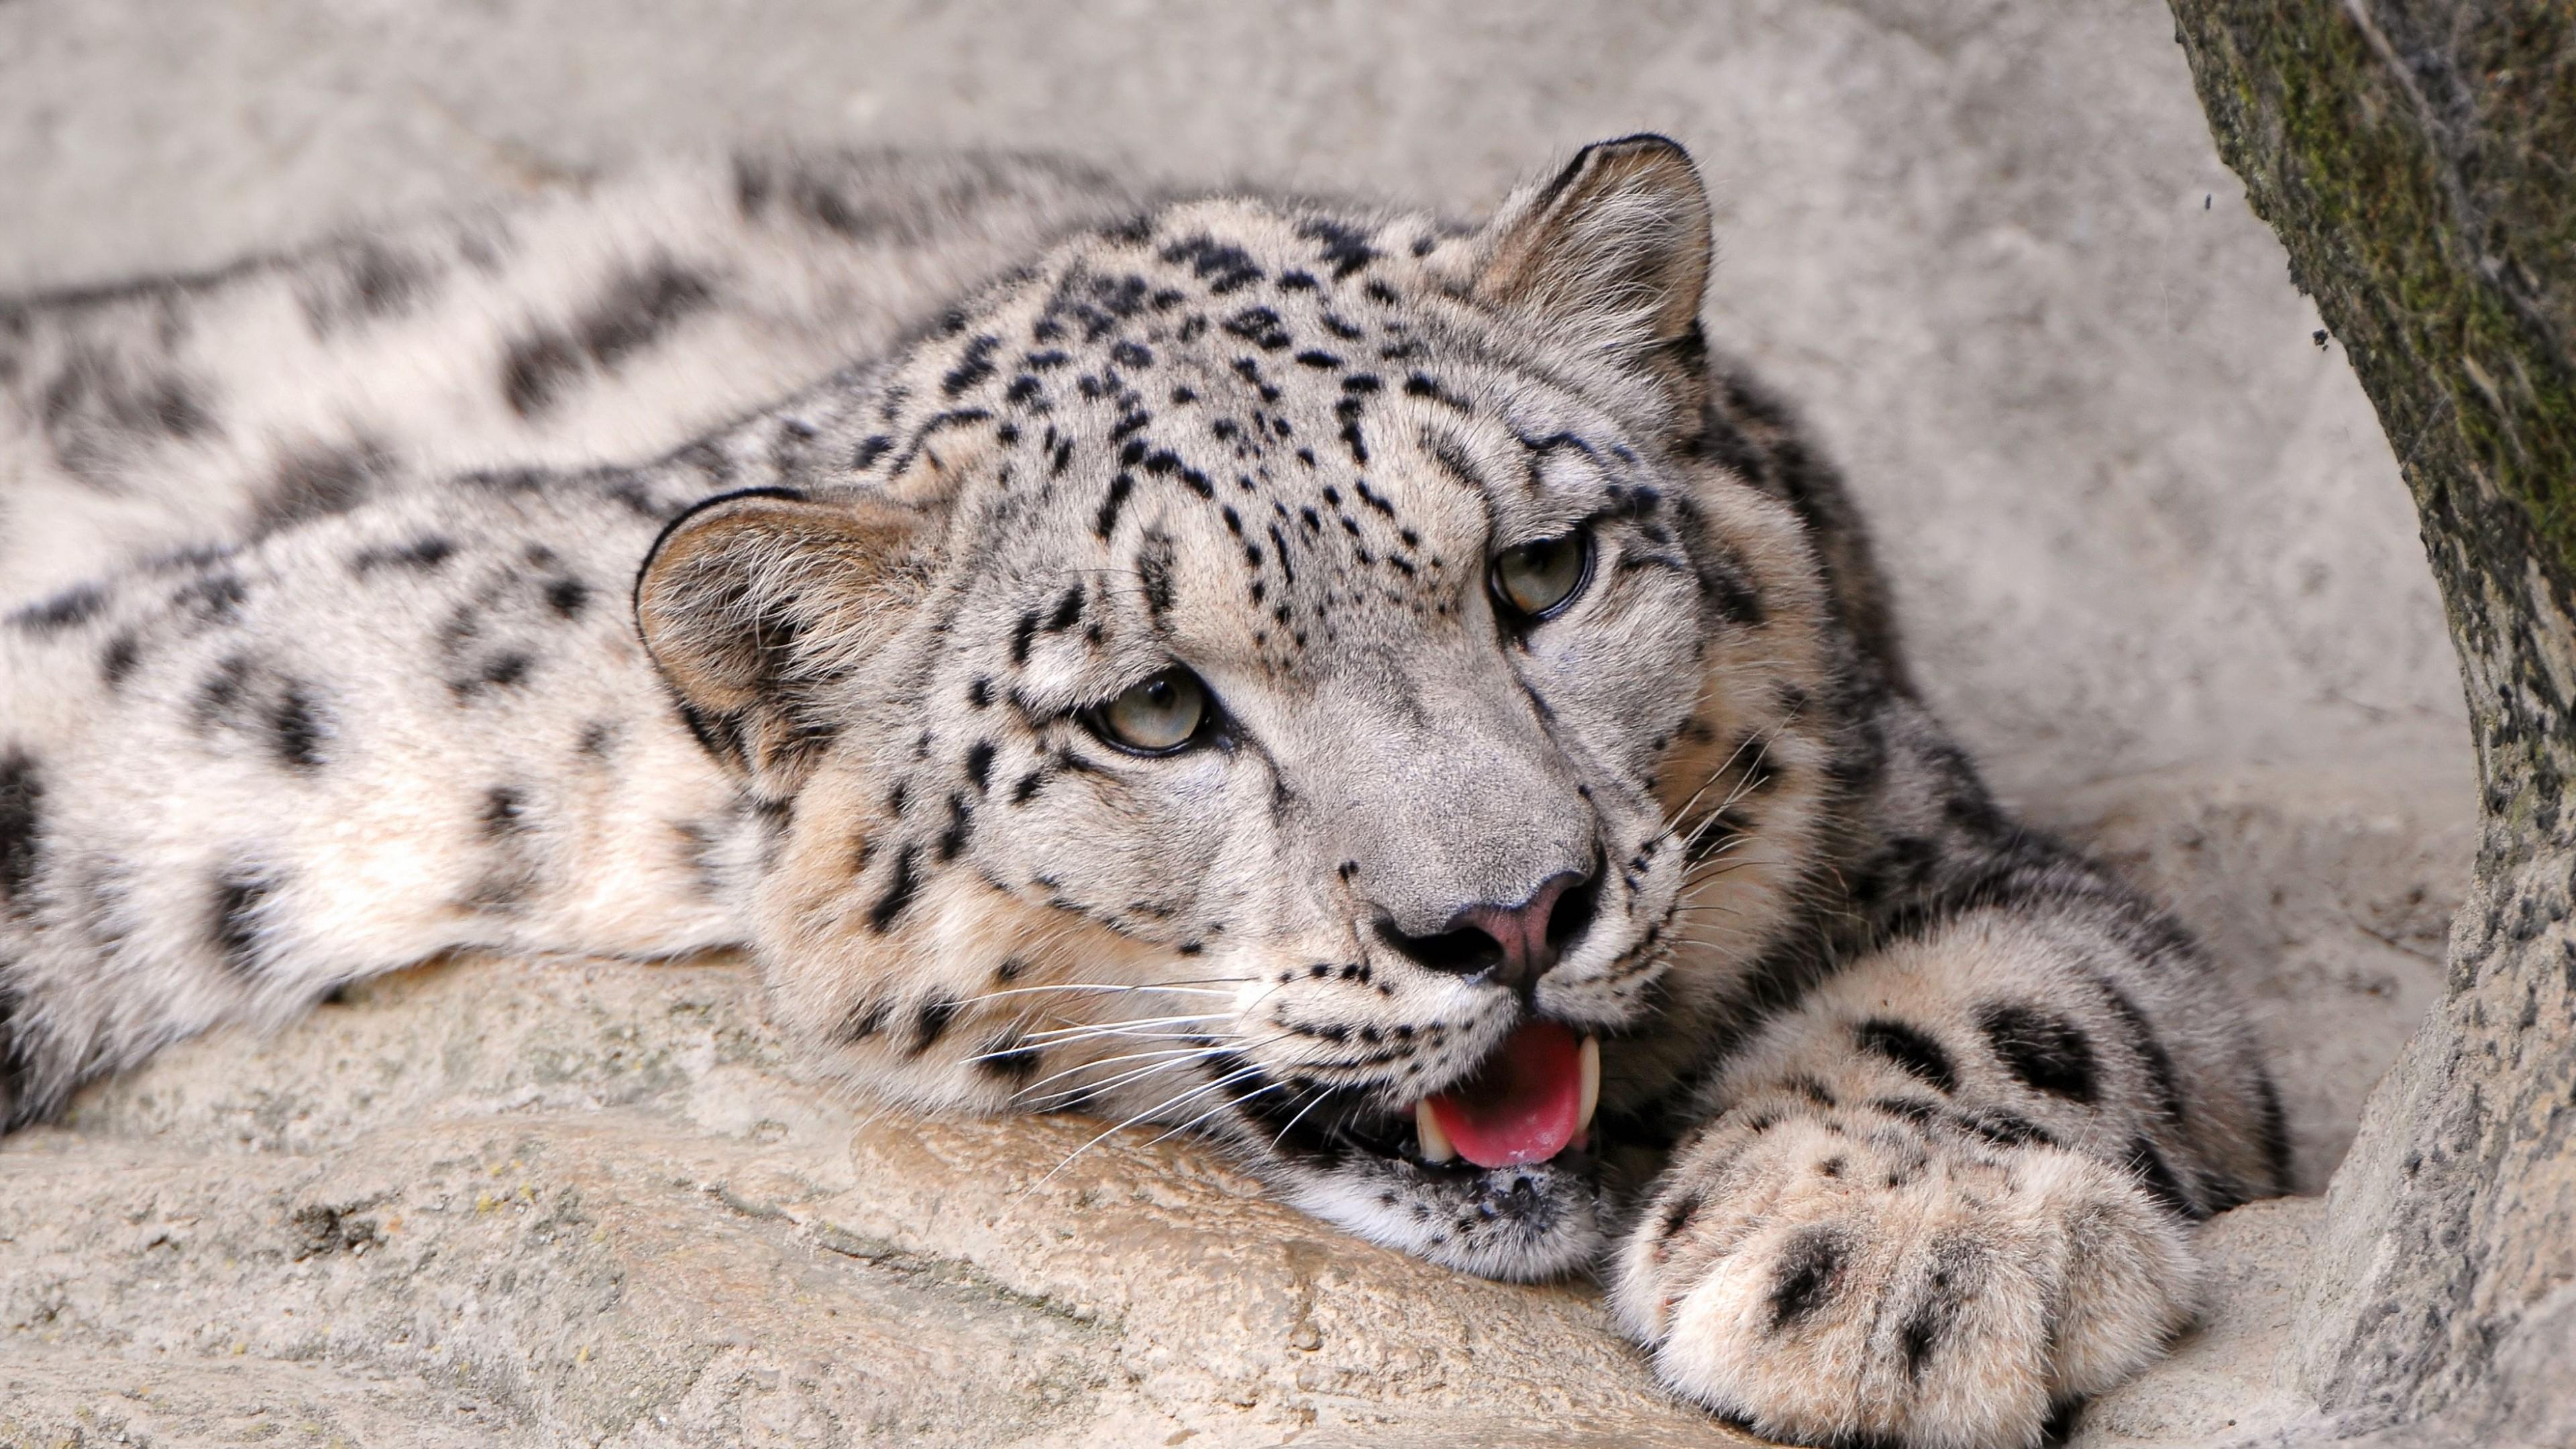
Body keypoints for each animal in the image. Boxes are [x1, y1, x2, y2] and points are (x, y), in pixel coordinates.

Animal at [0, 136, 2292, 1449]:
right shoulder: (272, 694)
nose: (1509, 915)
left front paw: (1896, 1241)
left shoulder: (1925, 814)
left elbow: (2043, 985)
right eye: (1158, 714)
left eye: (1541, 573)